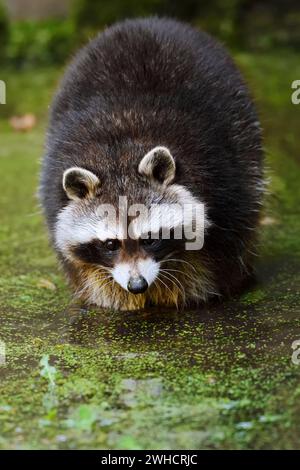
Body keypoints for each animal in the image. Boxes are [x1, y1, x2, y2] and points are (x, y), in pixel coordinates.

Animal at [38, 17, 264, 312]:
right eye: (110, 244)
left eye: (150, 238)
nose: (137, 286)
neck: (119, 158)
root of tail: (144, 21)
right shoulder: (53, 188)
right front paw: (116, 296)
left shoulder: (221, 174)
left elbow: (222, 244)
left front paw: (196, 288)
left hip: (242, 131)